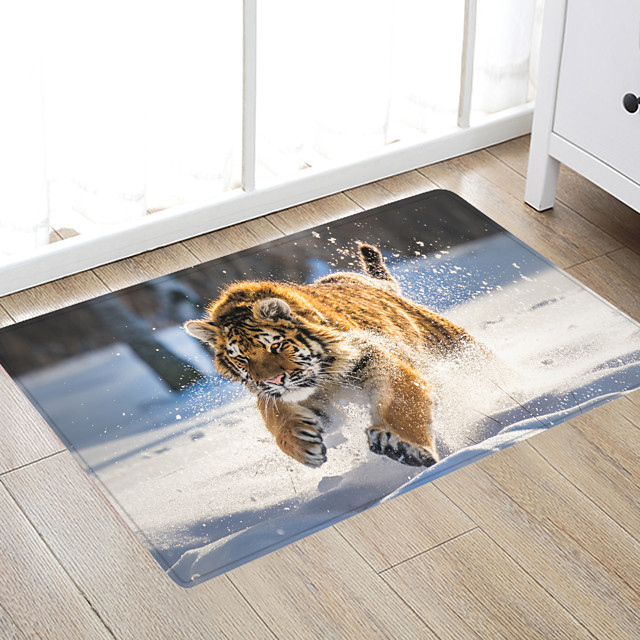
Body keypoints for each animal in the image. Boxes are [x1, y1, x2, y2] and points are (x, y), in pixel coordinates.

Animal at [184, 244, 479, 469]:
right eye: (242, 359)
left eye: (275, 346)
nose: (275, 380)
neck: (322, 381)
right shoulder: (278, 397)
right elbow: (275, 416)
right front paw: (302, 444)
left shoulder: (375, 358)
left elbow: (400, 402)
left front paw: (402, 445)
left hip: (457, 348)